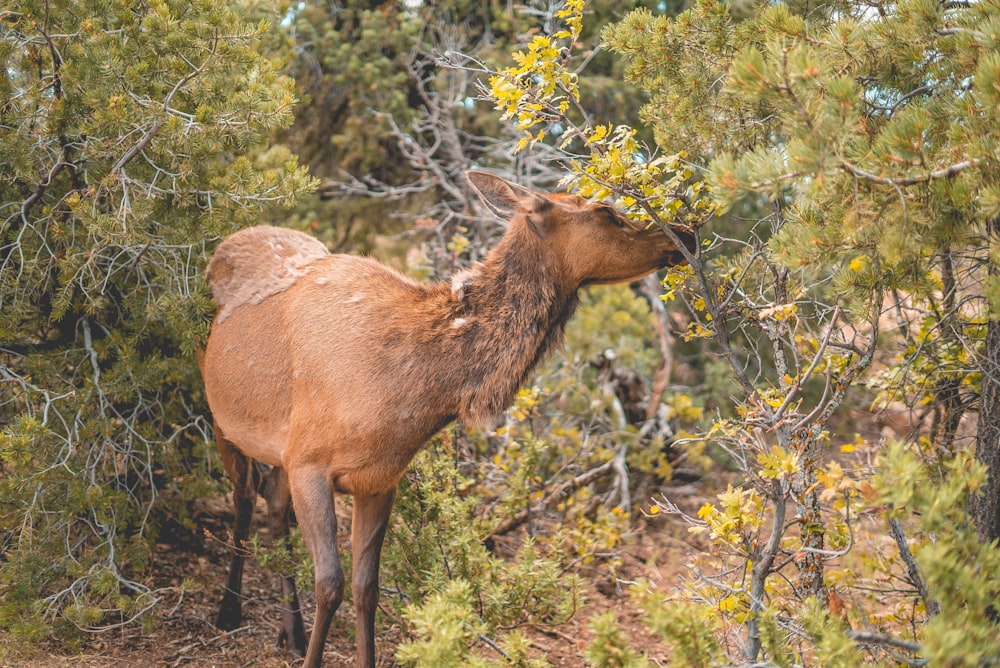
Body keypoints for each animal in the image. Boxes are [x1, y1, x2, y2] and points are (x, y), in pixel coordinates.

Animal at [199, 172, 692, 668]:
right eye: (606, 211)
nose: (683, 234)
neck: (420, 392)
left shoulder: (378, 479)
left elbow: (366, 588)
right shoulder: (310, 463)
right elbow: (330, 584)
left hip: (279, 450)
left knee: (272, 502)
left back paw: (291, 633)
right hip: (224, 420)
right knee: (245, 498)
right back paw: (228, 612)